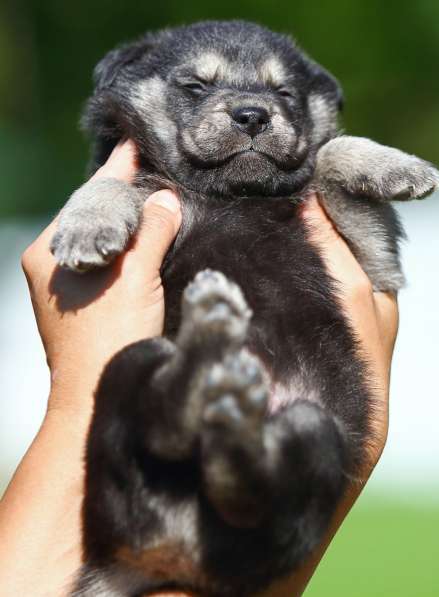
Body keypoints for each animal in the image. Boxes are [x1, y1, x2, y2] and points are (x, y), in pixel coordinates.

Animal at [50, 19, 436, 596]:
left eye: (285, 94)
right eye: (195, 87)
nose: (253, 114)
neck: (230, 193)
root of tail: (167, 552)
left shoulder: (375, 267)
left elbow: (329, 153)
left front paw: (396, 168)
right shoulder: (143, 183)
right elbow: (112, 184)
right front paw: (86, 226)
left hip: (313, 435)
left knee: (250, 494)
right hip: (129, 366)